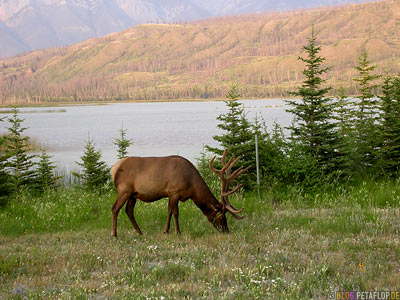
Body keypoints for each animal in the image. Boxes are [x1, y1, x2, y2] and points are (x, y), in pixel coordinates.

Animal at [111, 150, 248, 237]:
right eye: (221, 216)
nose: (226, 230)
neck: (191, 186)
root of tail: (113, 168)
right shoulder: (174, 191)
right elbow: (176, 213)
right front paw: (178, 232)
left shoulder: (170, 194)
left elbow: (169, 211)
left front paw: (166, 231)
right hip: (124, 190)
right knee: (115, 208)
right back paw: (114, 234)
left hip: (133, 194)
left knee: (128, 210)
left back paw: (139, 232)